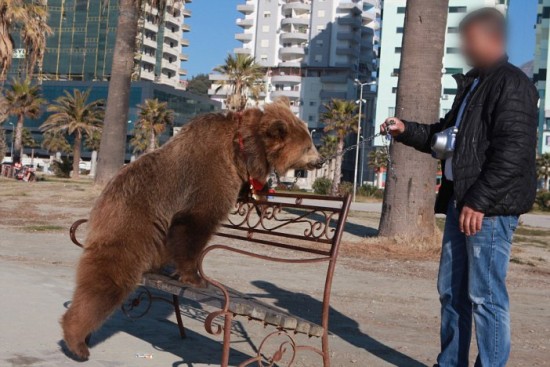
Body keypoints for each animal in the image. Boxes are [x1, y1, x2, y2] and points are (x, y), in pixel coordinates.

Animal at [61, 98, 324, 360]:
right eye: (307, 146)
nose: (320, 160)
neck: (243, 150)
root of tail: (102, 199)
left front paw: (262, 194)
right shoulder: (209, 175)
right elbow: (195, 224)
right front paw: (196, 278)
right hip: (133, 223)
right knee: (109, 277)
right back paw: (77, 341)